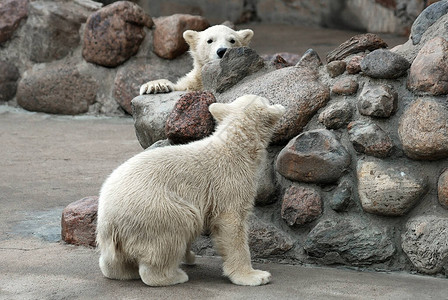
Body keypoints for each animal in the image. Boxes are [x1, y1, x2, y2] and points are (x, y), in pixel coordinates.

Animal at [96, 95, 286, 288]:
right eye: (266, 100)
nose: (277, 103)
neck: (236, 145)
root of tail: (108, 221)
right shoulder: (229, 181)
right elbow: (231, 222)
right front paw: (254, 275)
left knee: (113, 262)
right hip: (155, 209)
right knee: (177, 228)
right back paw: (174, 275)